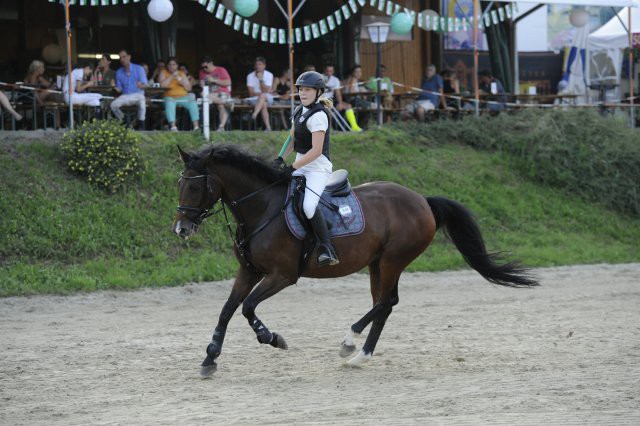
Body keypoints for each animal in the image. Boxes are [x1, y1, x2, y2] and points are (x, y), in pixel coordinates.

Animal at [173, 144, 538, 377]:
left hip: (392, 260)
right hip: (378, 263)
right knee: (384, 304)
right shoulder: (248, 271)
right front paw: (209, 359)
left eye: (196, 187)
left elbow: (248, 308)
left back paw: (350, 343)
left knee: (386, 302)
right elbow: (227, 309)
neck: (262, 208)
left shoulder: (282, 275)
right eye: (180, 183)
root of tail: (421, 199)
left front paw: (272, 338)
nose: (181, 229)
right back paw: (360, 356)